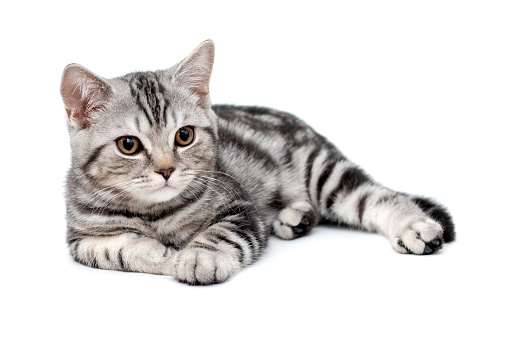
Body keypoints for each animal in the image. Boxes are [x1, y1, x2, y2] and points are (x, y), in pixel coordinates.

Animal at [61, 39, 454, 286]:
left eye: (184, 136)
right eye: (128, 145)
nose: (167, 169)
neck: (153, 213)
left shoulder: (239, 205)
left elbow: (219, 233)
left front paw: (197, 256)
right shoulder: (80, 239)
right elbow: (118, 249)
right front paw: (162, 254)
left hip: (321, 170)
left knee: (377, 196)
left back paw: (415, 226)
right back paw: (297, 217)